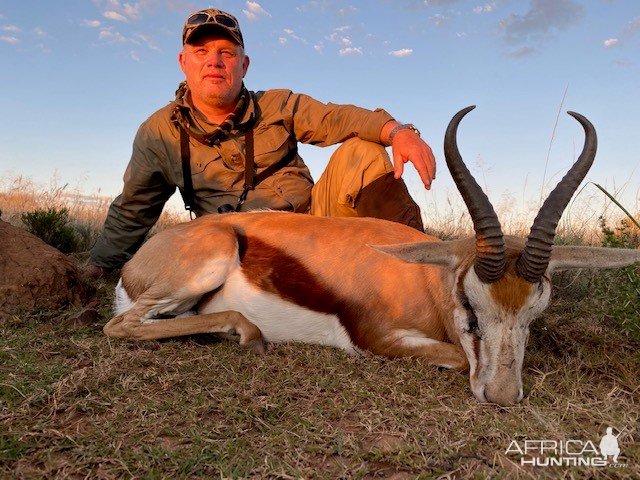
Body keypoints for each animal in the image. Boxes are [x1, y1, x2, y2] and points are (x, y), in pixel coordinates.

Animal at [106, 106, 640, 404]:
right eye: (472, 311)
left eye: (534, 313)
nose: (502, 398)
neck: (424, 281)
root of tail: (137, 262)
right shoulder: (377, 339)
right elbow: (454, 356)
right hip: (209, 260)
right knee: (120, 326)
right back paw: (248, 333)